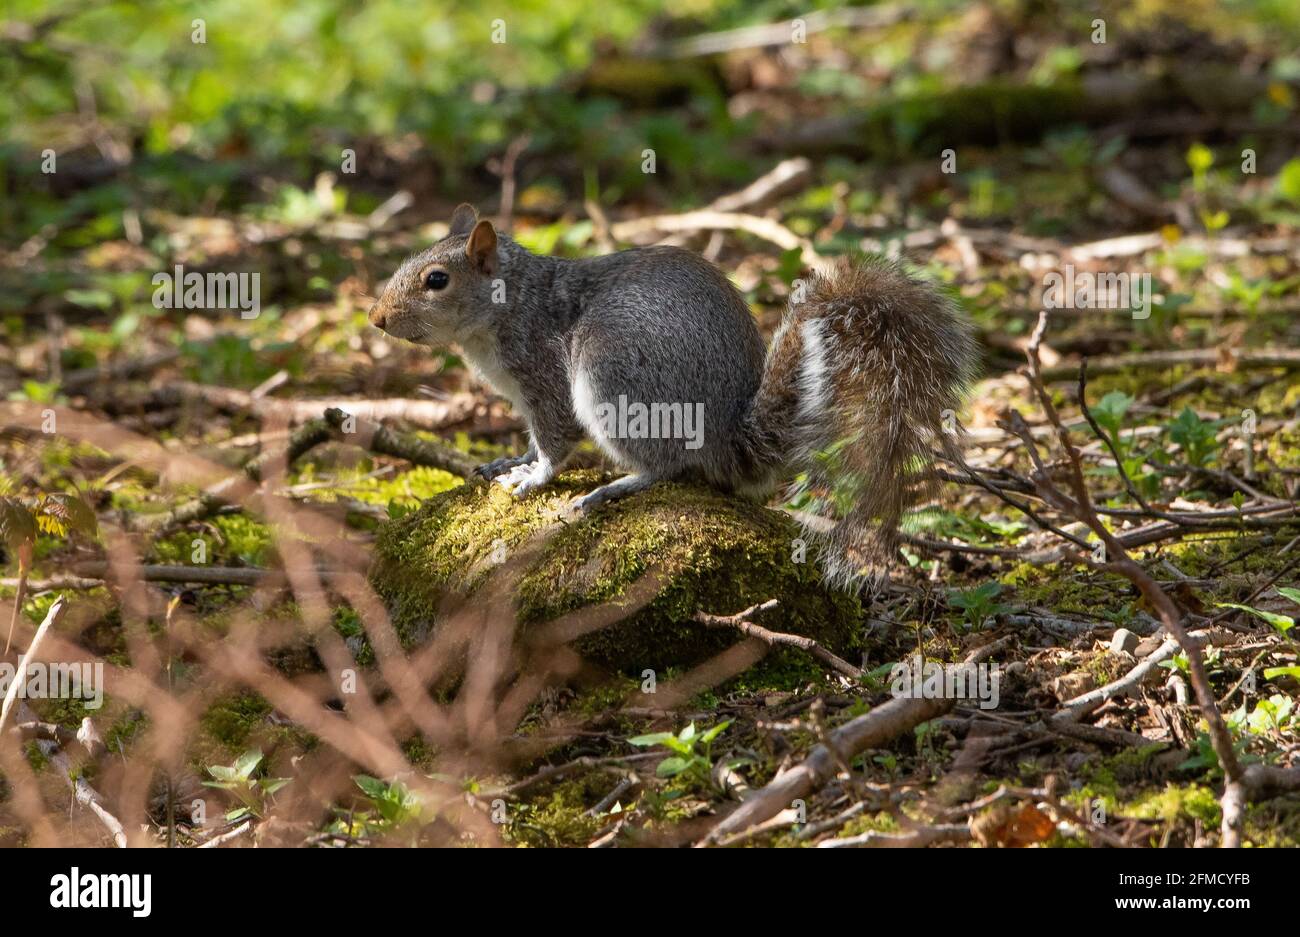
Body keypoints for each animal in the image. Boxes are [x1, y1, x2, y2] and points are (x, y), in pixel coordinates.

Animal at [369, 205, 977, 584]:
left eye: (437, 279)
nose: (376, 317)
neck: (507, 306)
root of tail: (725, 437)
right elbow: (530, 439)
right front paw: (507, 460)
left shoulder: (544, 378)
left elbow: (555, 441)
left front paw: (535, 476)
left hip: (615, 377)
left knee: (668, 467)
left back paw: (615, 487)